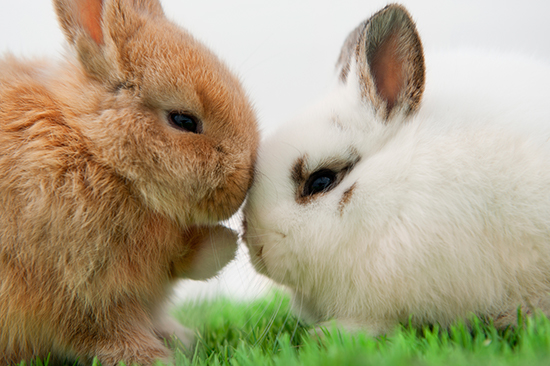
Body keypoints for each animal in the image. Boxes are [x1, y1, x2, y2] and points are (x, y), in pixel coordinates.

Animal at [0, 0, 260, 364]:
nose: (244, 184)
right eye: (184, 120)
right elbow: (106, 328)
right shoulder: (74, 286)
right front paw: (153, 357)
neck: (97, 155)